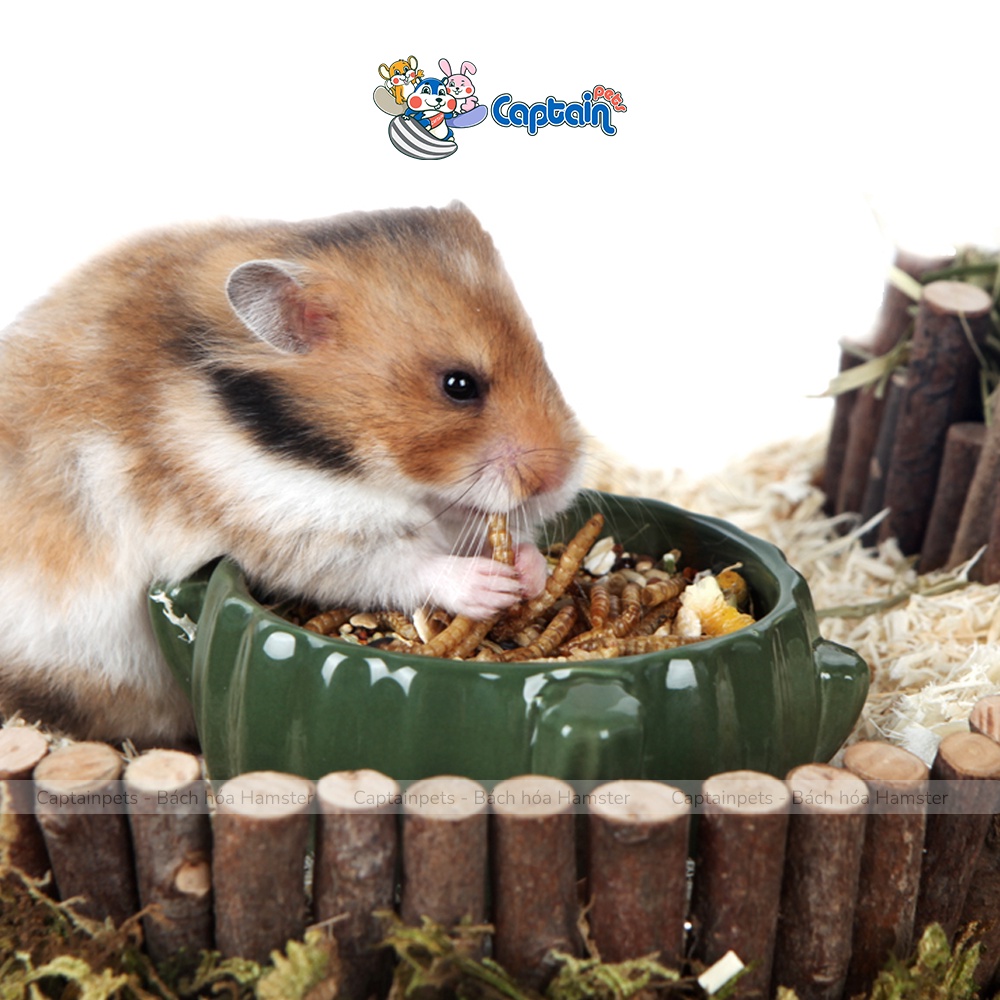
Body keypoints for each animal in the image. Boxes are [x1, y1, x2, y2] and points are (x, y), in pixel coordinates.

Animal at [0, 202, 583, 744]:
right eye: (458, 385)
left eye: (544, 354)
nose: (561, 481)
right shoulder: (301, 531)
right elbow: (401, 565)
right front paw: (490, 586)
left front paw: (532, 571)